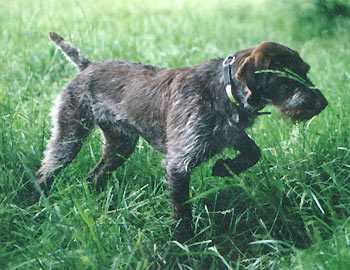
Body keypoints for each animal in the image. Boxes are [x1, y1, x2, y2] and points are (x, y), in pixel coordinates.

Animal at [36, 32, 328, 242]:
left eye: (306, 70)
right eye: (288, 77)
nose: (323, 103)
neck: (223, 90)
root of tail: (88, 67)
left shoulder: (231, 135)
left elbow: (253, 152)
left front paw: (225, 167)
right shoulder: (179, 163)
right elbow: (182, 210)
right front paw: (183, 242)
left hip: (120, 146)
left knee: (93, 176)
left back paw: (99, 205)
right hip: (69, 137)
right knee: (45, 172)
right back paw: (37, 206)